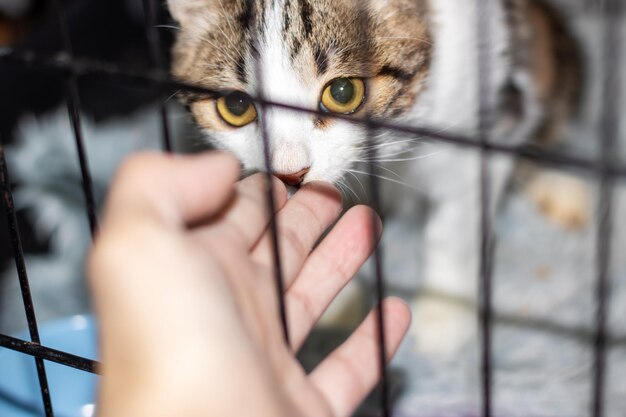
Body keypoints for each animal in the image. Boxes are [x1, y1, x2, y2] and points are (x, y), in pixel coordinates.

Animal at [167, 0, 580, 356]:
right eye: (236, 106)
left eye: (342, 92)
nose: (289, 172)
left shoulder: (481, 123)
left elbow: (456, 225)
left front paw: (446, 312)